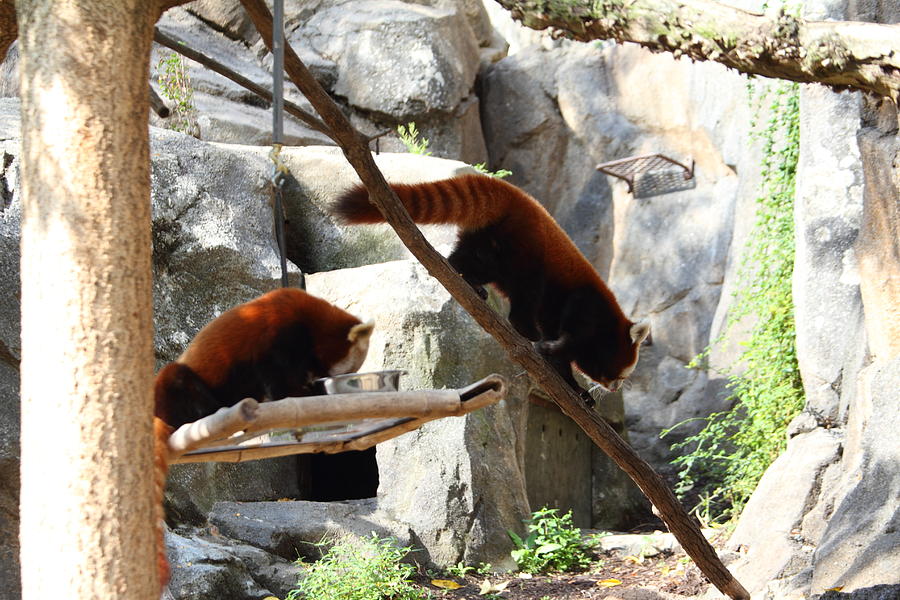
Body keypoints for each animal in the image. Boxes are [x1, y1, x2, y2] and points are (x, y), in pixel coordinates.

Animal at [151, 288, 372, 588]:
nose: (339, 385)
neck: (311, 319)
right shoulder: (275, 337)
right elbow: (277, 378)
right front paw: (305, 394)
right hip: (176, 386)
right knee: (177, 378)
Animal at [330, 171, 648, 400]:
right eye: (621, 373)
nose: (615, 388)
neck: (609, 318)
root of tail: (516, 196)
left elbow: (562, 358)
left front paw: (578, 390)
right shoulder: (586, 301)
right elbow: (568, 334)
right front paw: (552, 349)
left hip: (488, 243)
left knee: (469, 260)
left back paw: (463, 279)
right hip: (524, 247)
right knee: (527, 289)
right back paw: (523, 328)